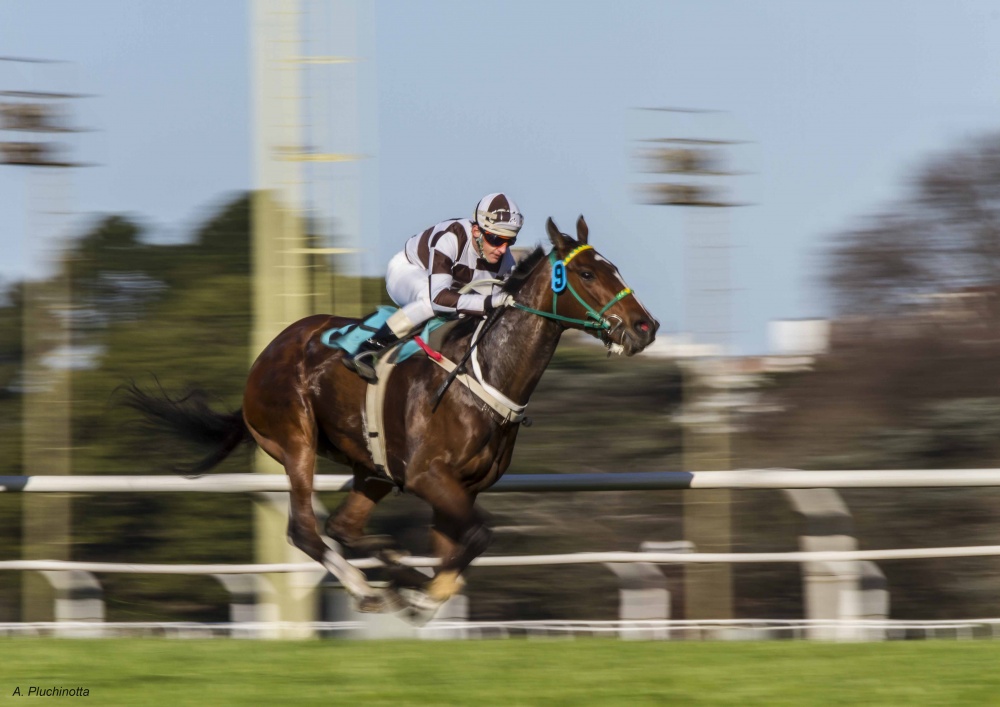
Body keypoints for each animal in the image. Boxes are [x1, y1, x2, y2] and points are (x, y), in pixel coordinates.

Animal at [127, 216, 656, 620]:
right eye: (586, 273)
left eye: (611, 267)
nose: (645, 327)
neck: (484, 374)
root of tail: (264, 357)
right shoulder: (428, 476)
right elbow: (478, 537)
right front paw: (419, 598)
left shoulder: (459, 488)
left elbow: (455, 551)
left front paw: (418, 588)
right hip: (296, 440)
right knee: (305, 530)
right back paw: (367, 588)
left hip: (374, 470)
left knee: (343, 528)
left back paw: (387, 565)